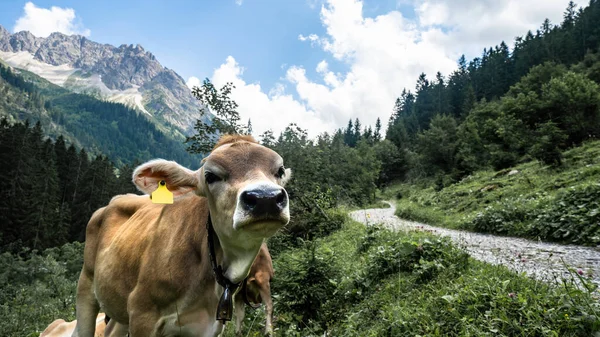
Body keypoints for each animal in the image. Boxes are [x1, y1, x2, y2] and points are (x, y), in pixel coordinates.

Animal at [71, 135, 292, 336]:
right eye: (211, 176)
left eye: (279, 171)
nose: (265, 198)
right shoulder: (142, 313)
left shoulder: (208, 327)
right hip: (86, 285)